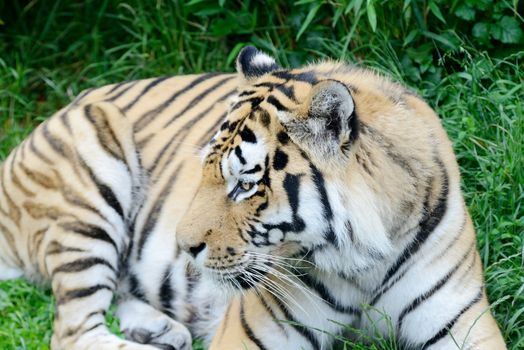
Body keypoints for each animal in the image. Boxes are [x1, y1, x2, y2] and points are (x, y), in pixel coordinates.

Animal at [0, 47, 506, 350]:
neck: (363, 262)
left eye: (245, 184)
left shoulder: (463, 323)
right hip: (87, 194)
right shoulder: (251, 331)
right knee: (73, 330)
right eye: (203, 170)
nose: (184, 248)